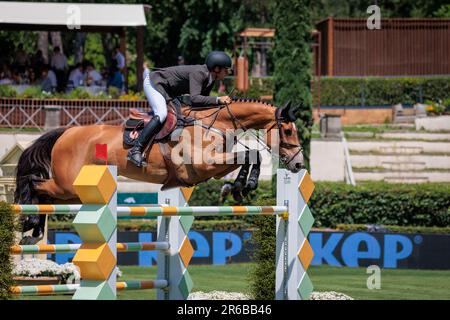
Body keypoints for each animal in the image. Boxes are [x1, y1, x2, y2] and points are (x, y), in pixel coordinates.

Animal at [14, 99, 304, 244]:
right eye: (288, 130)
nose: (299, 165)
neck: (215, 123)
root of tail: (65, 132)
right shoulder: (202, 166)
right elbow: (249, 154)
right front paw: (241, 186)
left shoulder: (212, 168)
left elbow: (250, 155)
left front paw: (238, 187)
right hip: (67, 185)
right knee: (35, 183)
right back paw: (29, 222)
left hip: (74, 191)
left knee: (47, 194)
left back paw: (35, 230)